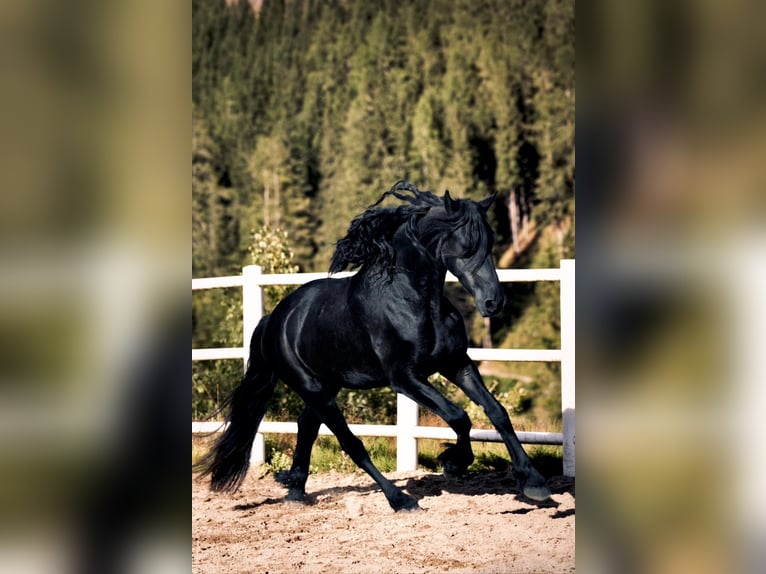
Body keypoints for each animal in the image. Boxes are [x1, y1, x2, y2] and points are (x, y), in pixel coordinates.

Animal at [197, 181, 551, 511]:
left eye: (491, 240)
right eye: (466, 244)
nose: (494, 303)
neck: (414, 300)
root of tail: (274, 319)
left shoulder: (456, 364)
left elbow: (497, 412)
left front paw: (533, 482)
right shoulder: (405, 377)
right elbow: (459, 415)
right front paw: (454, 462)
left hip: (327, 386)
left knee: (307, 426)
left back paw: (296, 491)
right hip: (313, 388)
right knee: (350, 443)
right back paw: (400, 500)